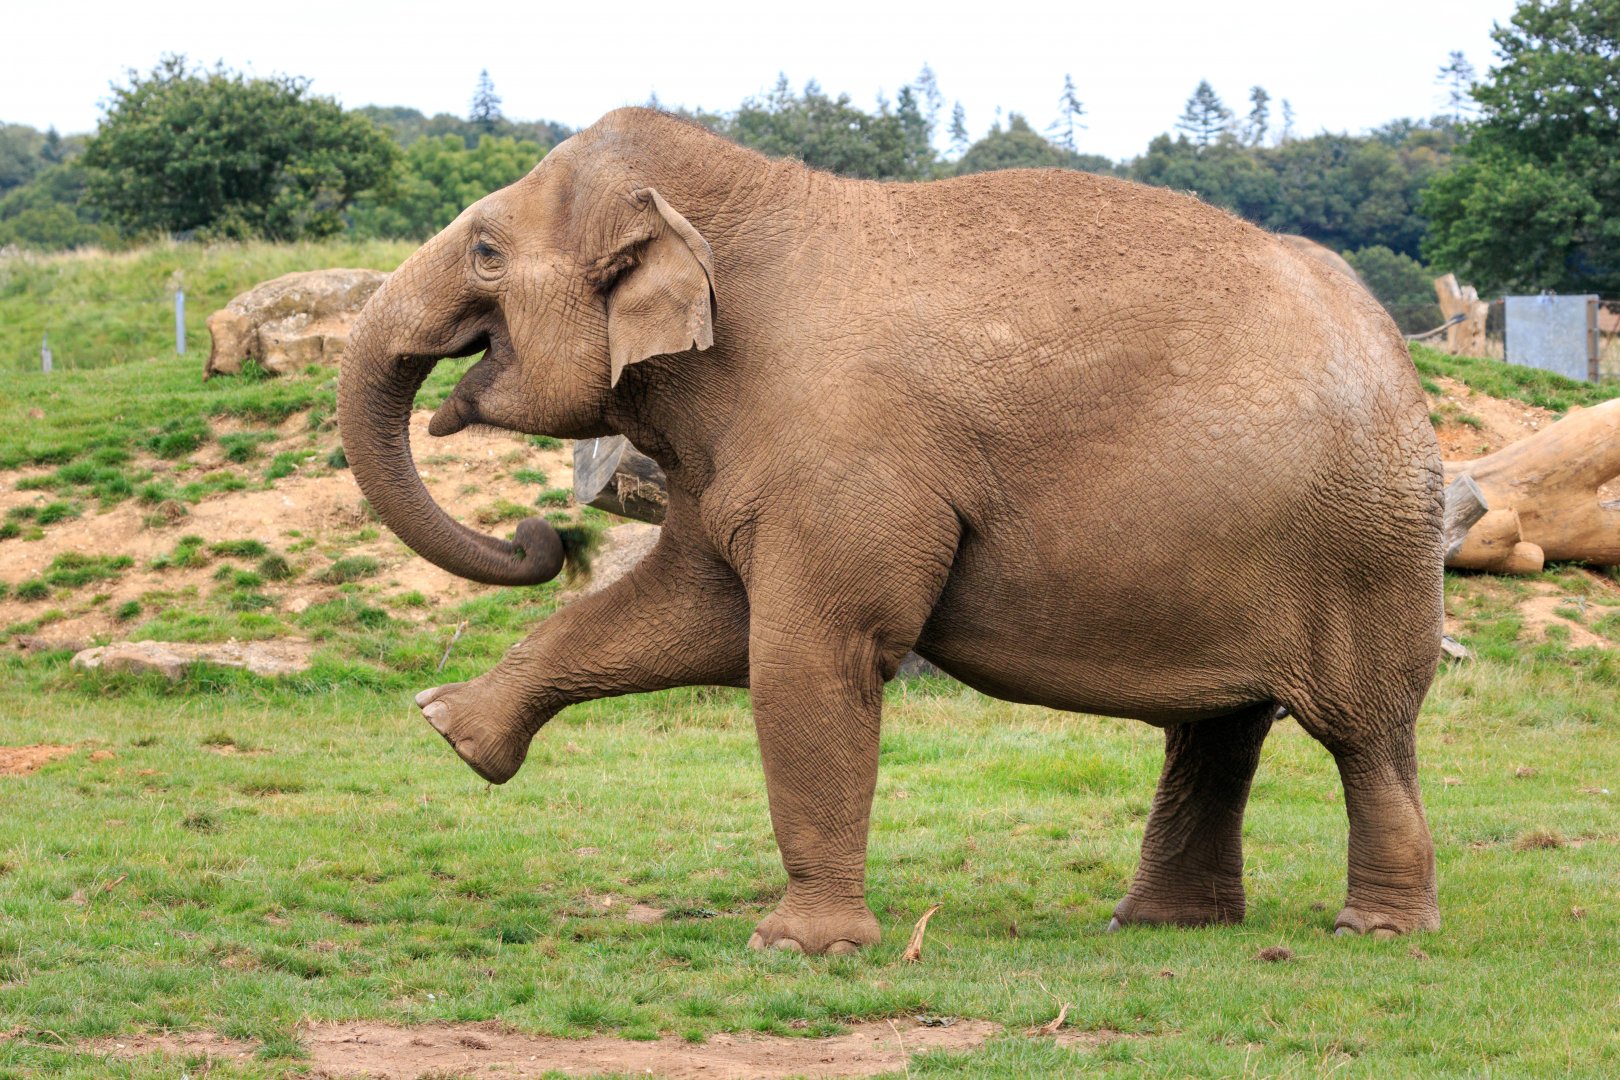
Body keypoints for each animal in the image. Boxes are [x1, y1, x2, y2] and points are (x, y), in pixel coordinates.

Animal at [337, 107, 1445, 955]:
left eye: (485, 250)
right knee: (1216, 730)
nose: (539, 538)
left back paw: (1377, 930)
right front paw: (453, 731)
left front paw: (802, 949)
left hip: (1367, 545)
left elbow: (809, 651)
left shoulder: (845, 452)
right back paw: (1163, 925)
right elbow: (690, 612)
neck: (738, 200)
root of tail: (1390, 341)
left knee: (1363, 729)